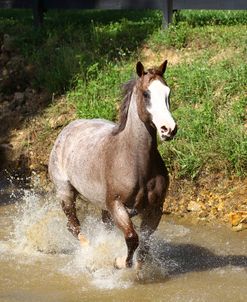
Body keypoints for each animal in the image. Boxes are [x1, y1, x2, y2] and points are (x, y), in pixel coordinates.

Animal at [48, 60, 177, 268]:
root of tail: (68, 128)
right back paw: (90, 251)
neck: (135, 162)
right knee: (73, 226)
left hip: (101, 206)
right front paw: (120, 262)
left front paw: (139, 266)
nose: (169, 129)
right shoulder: (117, 206)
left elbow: (145, 242)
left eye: (168, 92)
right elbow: (132, 237)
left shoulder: (155, 208)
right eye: (146, 94)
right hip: (65, 192)